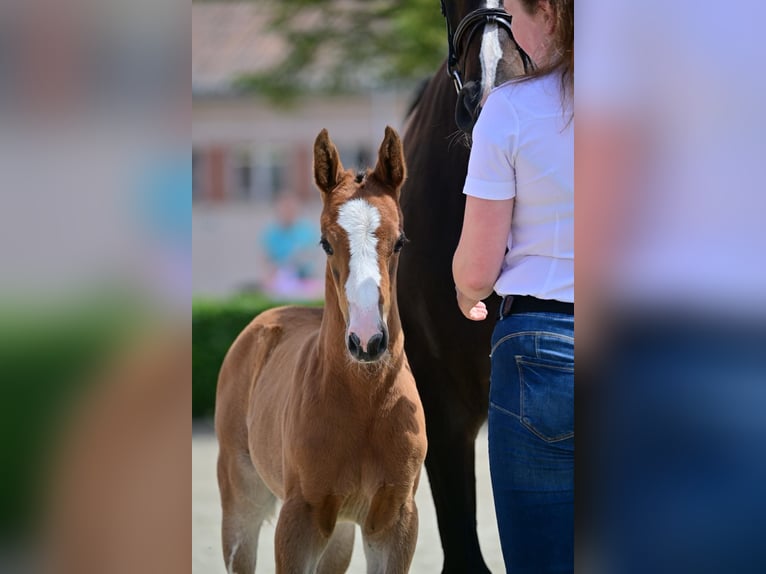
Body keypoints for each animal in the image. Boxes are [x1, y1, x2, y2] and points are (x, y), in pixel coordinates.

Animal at [216, 128, 428, 572]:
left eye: (400, 241)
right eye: (325, 243)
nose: (366, 340)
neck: (365, 401)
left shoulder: (396, 518)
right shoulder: (301, 517)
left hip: (341, 532)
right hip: (241, 501)